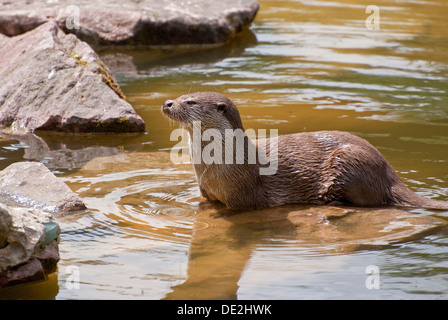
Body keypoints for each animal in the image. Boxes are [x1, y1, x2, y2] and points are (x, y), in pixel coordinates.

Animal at [163, 91, 448, 211]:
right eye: (180, 95)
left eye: (190, 101)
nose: (167, 103)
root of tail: (390, 173)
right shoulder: (205, 191)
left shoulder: (243, 195)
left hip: (349, 159)